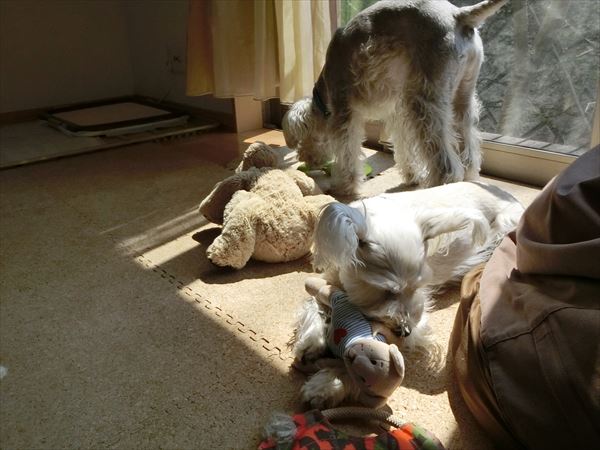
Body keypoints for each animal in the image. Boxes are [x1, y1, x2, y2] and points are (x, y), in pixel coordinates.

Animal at [283, 0, 508, 195]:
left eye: (304, 138)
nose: (304, 158)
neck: (325, 94)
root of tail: (459, 15)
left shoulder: (344, 111)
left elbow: (348, 151)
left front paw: (344, 187)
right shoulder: (398, 114)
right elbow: (404, 147)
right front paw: (411, 176)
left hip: (424, 100)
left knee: (445, 163)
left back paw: (437, 185)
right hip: (462, 95)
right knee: (468, 148)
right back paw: (466, 179)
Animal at [291, 182, 523, 400]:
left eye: (418, 286)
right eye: (387, 291)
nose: (405, 331)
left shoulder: (418, 321)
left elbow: (368, 361)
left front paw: (326, 385)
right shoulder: (331, 278)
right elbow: (311, 302)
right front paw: (311, 343)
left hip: (504, 227)